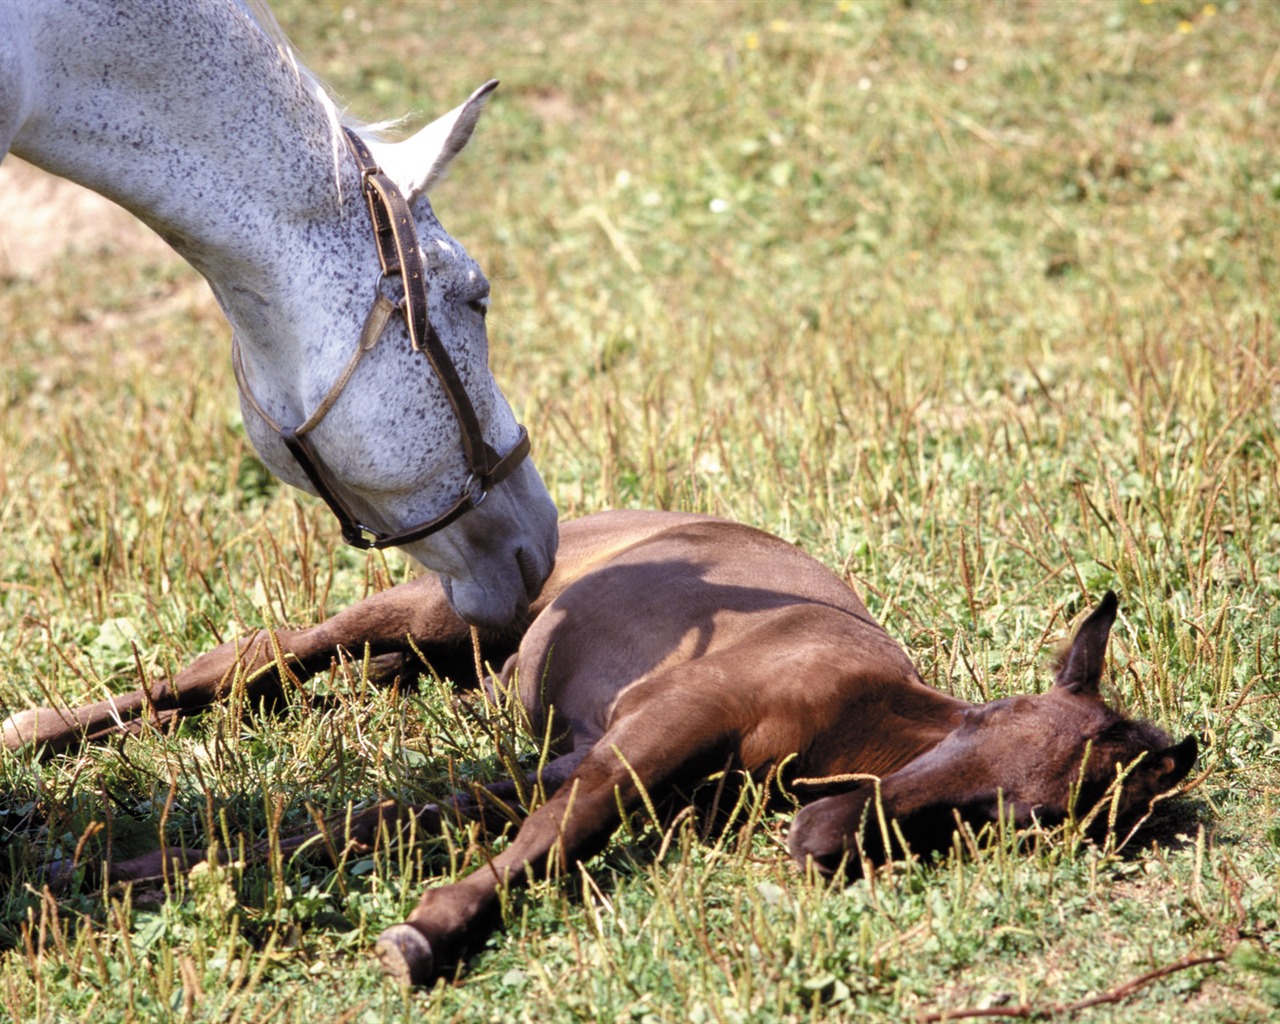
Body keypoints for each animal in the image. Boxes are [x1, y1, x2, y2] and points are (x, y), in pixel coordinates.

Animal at [2, 512, 1198, 983]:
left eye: (1024, 826)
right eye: (988, 753)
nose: (818, 841)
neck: (847, 712)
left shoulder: (580, 757)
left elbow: (375, 821)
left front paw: (117, 875)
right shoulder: (646, 736)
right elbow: (555, 838)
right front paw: (427, 935)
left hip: (451, 658)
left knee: (289, 691)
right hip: (429, 611)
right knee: (251, 660)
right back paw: (34, 732)